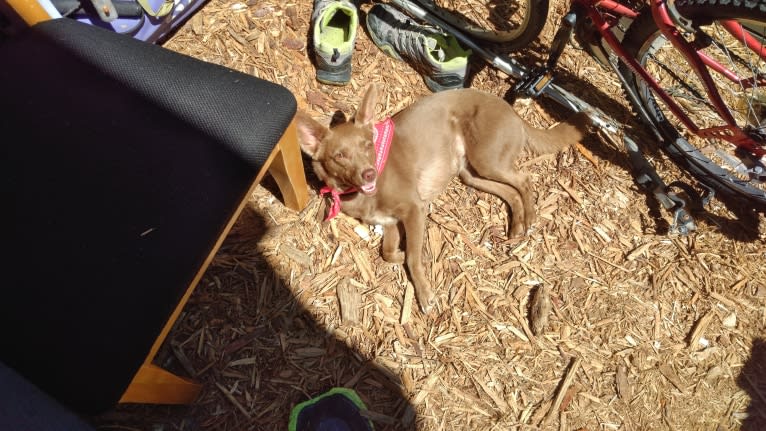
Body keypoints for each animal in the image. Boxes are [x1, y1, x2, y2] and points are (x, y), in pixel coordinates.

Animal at [296, 85, 592, 314]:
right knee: (510, 191)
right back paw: (517, 224)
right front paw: (399, 254)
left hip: (487, 160)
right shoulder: (391, 223)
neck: (362, 193)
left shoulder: (415, 209)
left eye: (368, 145)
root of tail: (514, 112)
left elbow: (413, 258)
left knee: (525, 179)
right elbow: (388, 252)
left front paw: (424, 293)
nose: (369, 173)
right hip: (471, 173)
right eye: (339, 156)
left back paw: (529, 218)